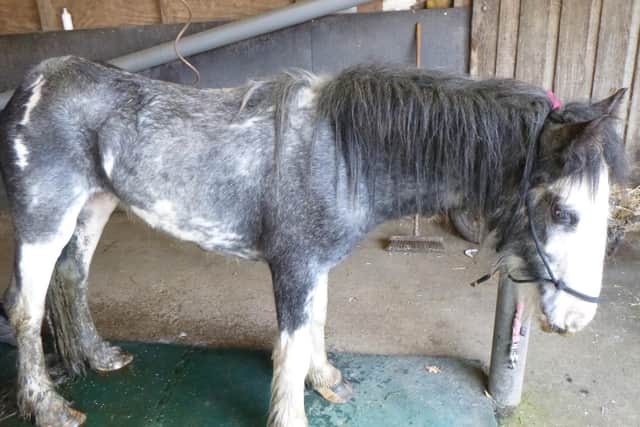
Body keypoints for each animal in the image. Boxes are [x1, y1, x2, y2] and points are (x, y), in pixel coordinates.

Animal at [0, 56, 627, 427]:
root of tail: (34, 82)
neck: (344, 154)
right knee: (26, 310)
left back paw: (100, 357)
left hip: (94, 207)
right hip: (43, 221)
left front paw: (326, 381)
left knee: (73, 279)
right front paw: (293, 410)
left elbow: (317, 325)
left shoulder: (316, 265)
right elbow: (290, 343)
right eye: (564, 211)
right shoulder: (294, 267)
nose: (576, 320)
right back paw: (48, 406)